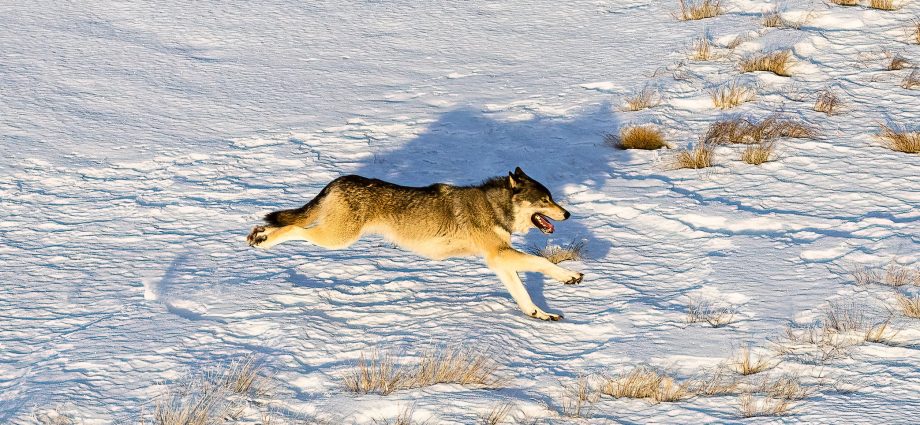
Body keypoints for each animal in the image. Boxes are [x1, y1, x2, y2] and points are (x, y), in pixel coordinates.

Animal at [247, 167, 584, 320]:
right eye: (545, 200)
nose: (567, 213)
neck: (494, 207)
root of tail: (340, 179)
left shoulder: (499, 261)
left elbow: (523, 295)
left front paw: (540, 314)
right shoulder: (499, 255)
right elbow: (541, 262)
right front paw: (570, 276)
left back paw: (258, 233)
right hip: (337, 239)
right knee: (292, 228)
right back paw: (262, 239)